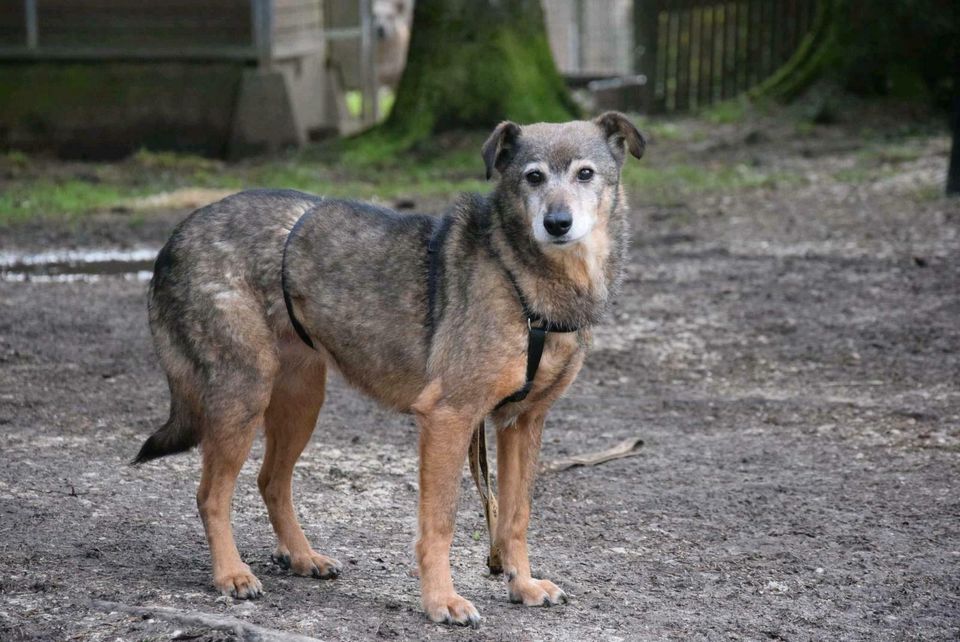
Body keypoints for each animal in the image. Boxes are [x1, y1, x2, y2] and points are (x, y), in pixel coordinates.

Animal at [135, 112, 644, 624]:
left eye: (585, 174)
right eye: (532, 177)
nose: (557, 223)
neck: (521, 275)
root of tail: (180, 231)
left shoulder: (521, 423)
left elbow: (515, 517)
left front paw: (522, 585)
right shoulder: (448, 418)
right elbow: (440, 524)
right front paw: (441, 600)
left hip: (300, 402)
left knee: (271, 482)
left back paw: (302, 557)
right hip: (244, 395)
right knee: (211, 496)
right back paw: (231, 574)